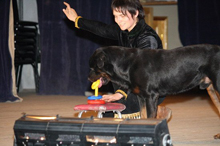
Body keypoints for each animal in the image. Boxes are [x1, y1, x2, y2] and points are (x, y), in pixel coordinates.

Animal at [88, 44, 220, 122]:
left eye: (93, 68)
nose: (88, 78)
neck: (128, 65)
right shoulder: (141, 97)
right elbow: (143, 115)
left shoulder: (151, 96)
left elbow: (150, 117)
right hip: (211, 89)